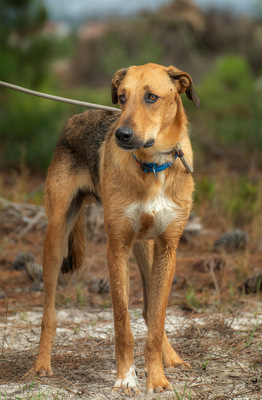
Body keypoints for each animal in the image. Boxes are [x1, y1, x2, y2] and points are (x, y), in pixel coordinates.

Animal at [28, 62, 200, 394]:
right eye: (122, 97)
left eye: (151, 97)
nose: (122, 134)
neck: (153, 167)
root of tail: (76, 117)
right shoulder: (116, 247)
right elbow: (122, 322)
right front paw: (125, 377)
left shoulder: (168, 248)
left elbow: (157, 319)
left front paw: (157, 377)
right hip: (56, 238)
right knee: (49, 313)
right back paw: (42, 364)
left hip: (145, 248)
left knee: (149, 311)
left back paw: (172, 357)